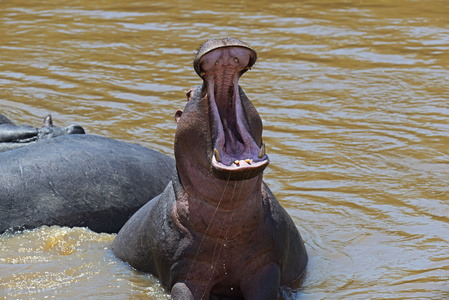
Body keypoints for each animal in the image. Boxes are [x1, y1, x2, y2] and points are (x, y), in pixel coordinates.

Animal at [113, 38, 308, 300]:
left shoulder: (265, 265)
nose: (223, 38)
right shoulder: (188, 271)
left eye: (244, 92)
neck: (227, 214)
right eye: (187, 95)